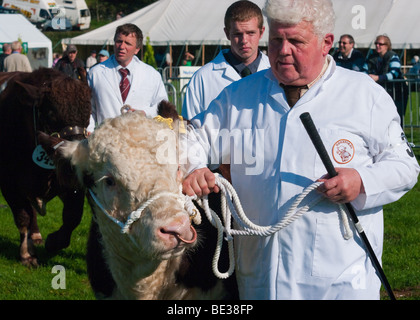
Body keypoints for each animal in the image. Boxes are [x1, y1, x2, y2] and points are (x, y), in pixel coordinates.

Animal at [0, 69, 91, 266]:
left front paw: (53, 242)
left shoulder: (72, 182)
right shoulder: (9, 184)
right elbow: (23, 215)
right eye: (51, 114)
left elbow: (73, 215)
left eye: (88, 115)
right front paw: (27, 254)